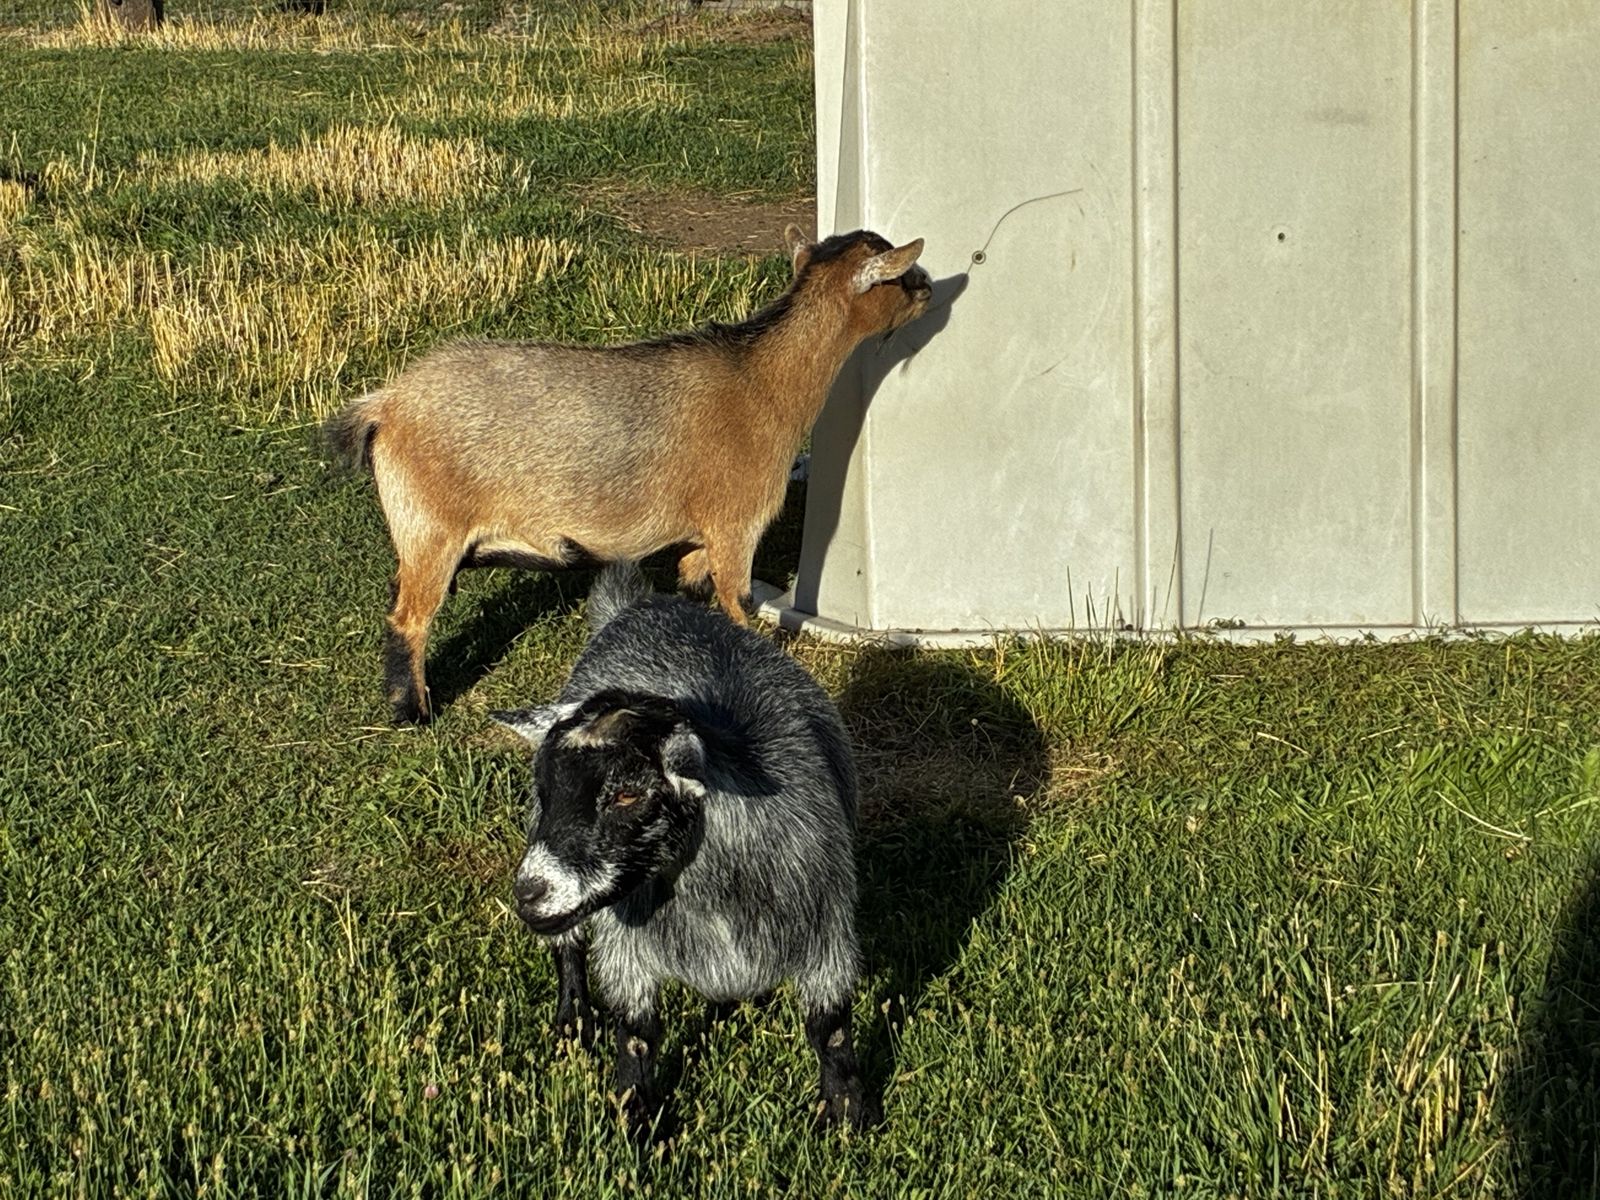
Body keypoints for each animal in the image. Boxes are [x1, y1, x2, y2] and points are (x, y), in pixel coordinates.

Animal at [327, 227, 931, 725]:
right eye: (898, 273)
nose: (927, 286)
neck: (763, 381)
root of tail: (386, 405)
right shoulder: (736, 522)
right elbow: (736, 601)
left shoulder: (698, 539)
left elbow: (694, 590)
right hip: (432, 528)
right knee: (409, 618)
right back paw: (414, 713)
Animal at [492, 563, 875, 1131]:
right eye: (545, 787)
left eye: (628, 793)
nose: (529, 893)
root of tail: (640, 605)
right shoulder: (627, 948)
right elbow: (636, 1035)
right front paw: (636, 1120)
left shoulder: (827, 933)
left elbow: (830, 1027)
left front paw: (846, 1111)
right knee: (568, 947)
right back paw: (573, 1021)